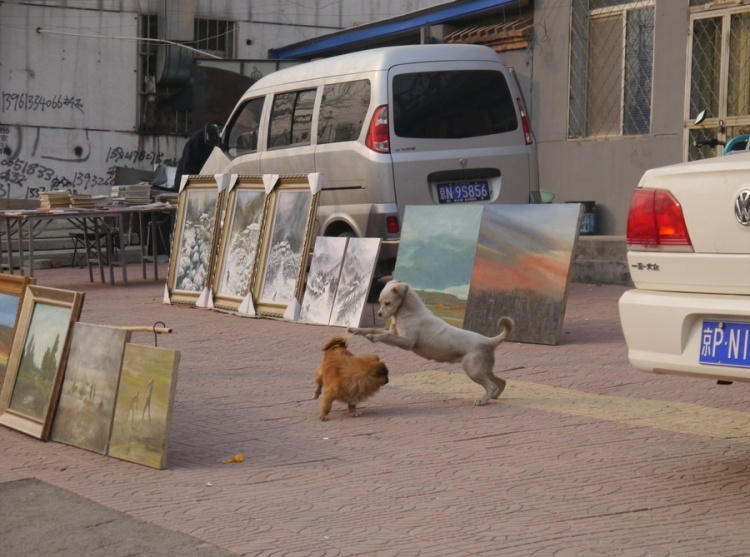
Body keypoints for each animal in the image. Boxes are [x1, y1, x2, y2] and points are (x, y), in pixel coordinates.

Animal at [350, 278, 516, 404]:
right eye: (379, 302)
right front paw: (357, 330)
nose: (378, 314)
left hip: (473, 370)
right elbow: (373, 330)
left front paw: (374, 338)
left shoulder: (406, 342)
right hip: (483, 369)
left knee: (491, 385)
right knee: (501, 382)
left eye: (388, 303)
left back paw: (483, 400)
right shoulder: (394, 334)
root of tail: (489, 341)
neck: (409, 313)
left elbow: (385, 336)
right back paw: (494, 397)